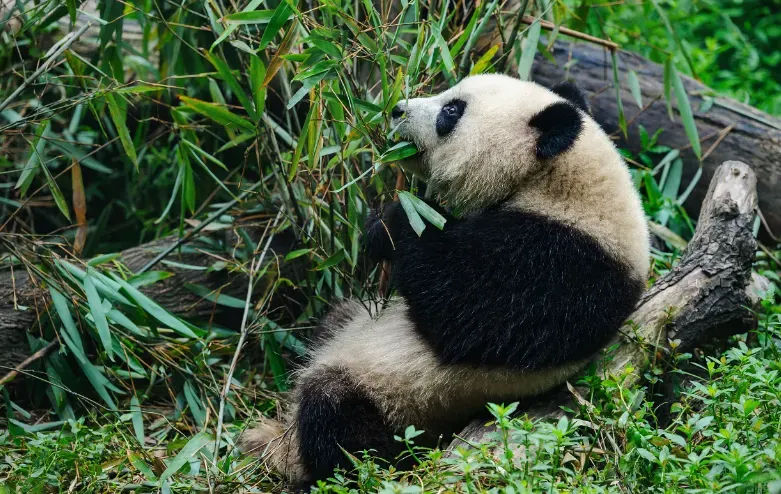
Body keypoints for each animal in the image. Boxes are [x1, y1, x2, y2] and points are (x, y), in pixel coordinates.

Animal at [239, 74, 650, 486]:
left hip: (400, 403)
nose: (396, 109)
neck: (561, 182)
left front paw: (391, 221)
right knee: (334, 322)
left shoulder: (565, 264)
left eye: (452, 111)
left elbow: (466, 314)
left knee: (338, 418)